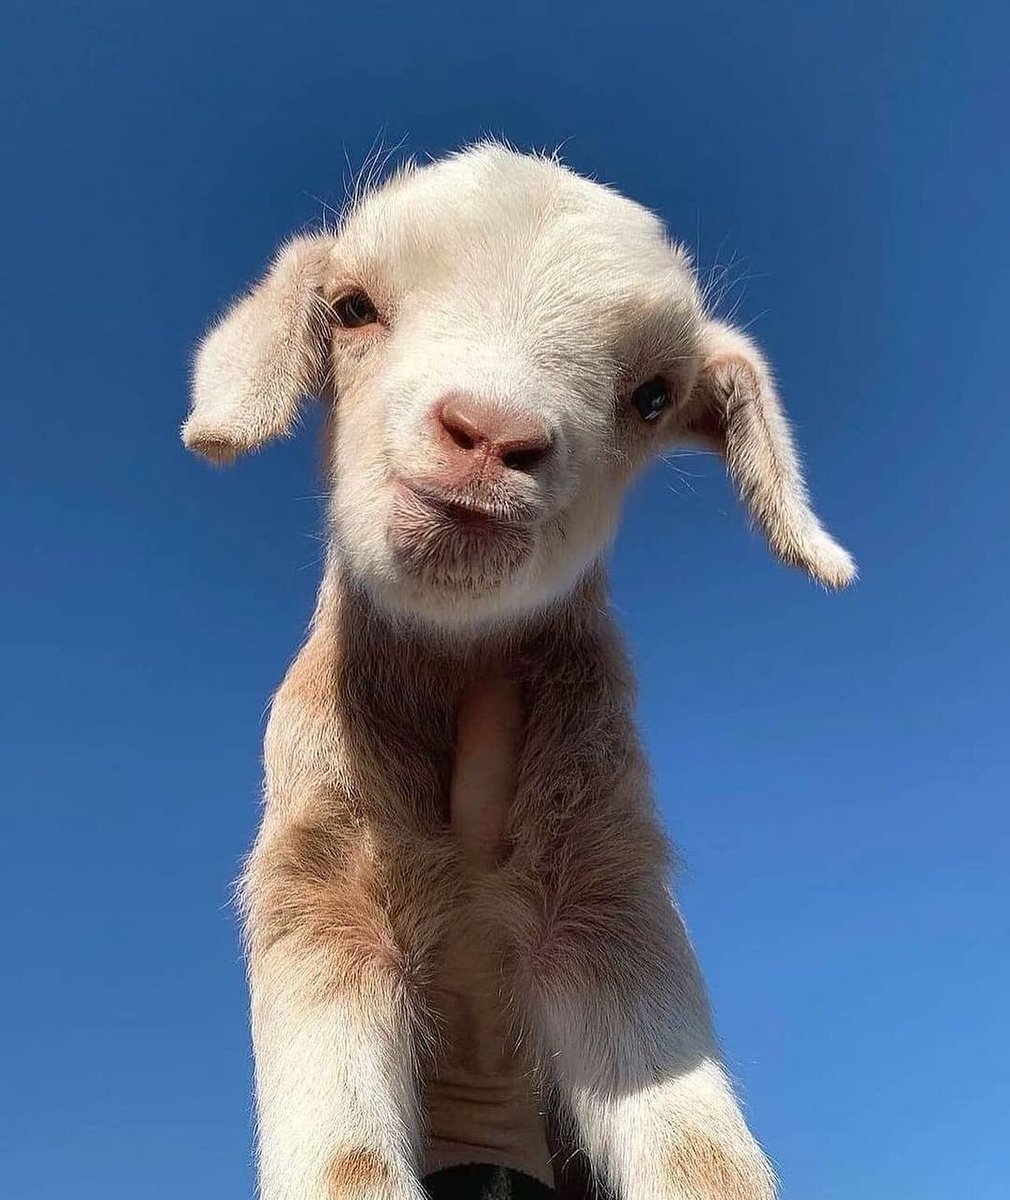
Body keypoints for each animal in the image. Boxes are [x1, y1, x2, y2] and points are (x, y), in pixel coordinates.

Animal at [183, 142, 855, 1200]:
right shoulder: (317, 881)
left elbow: (703, 1157)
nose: (491, 435)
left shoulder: (607, 889)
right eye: (352, 309)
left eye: (653, 395)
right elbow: (344, 1162)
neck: (455, 665)